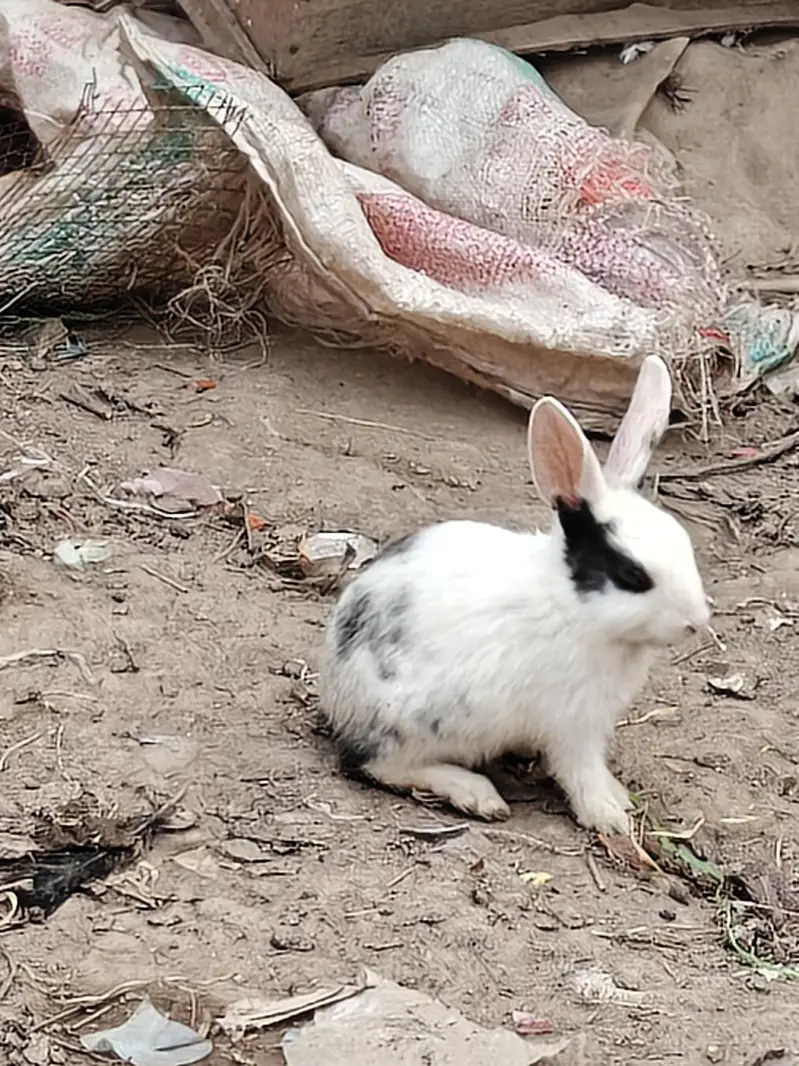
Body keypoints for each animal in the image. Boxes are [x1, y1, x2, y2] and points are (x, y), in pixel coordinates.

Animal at [318, 356, 710, 834]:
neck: (574, 609)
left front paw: (619, 798)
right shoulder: (572, 725)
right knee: (373, 764)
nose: (696, 621)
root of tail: (335, 693)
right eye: (632, 574)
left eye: (685, 543)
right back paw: (477, 794)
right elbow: (581, 772)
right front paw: (610, 817)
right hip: (417, 724)